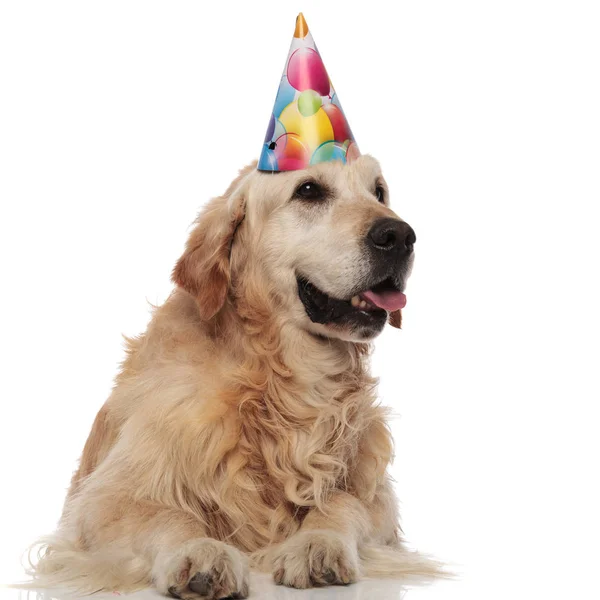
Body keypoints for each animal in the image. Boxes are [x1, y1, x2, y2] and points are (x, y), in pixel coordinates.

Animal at [27, 157, 436, 596]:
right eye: (308, 190)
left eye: (379, 191)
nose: (399, 235)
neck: (277, 379)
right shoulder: (104, 500)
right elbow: (171, 515)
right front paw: (200, 552)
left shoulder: (375, 497)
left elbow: (343, 503)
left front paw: (316, 542)